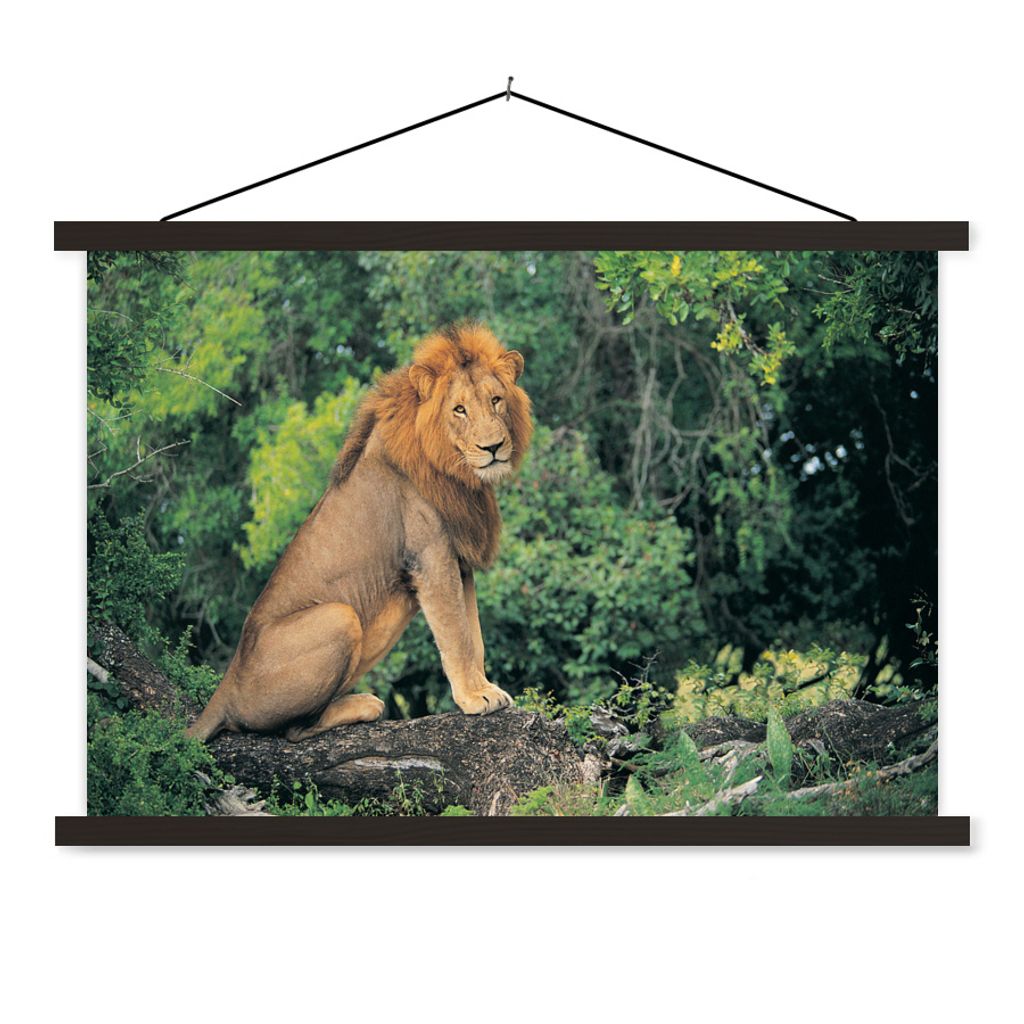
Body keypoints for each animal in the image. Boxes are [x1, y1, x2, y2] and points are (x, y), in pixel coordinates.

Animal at [185, 322, 533, 743]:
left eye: (496, 400)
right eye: (459, 409)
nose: (493, 447)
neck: (457, 474)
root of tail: (226, 685)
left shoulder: (459, 562)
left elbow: (474, 635)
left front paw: (484, 688)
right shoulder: (430, 557)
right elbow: (457, 636)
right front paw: (474, 698)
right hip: (339, 617)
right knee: (292, 731)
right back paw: (365, 704)